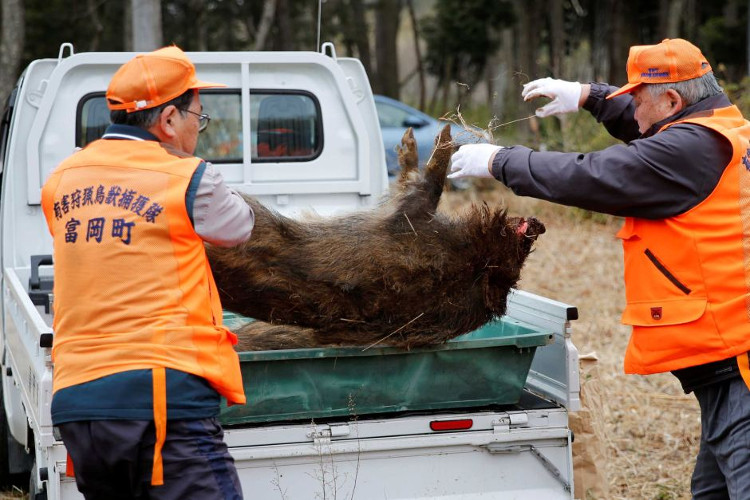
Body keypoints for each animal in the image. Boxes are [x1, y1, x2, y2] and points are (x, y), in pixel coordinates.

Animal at [207, 125, 545, 350]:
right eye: (522, 254)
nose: (538, 225)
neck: (472, 264)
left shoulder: (411, 213)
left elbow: (427, 179)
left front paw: (438, 139)